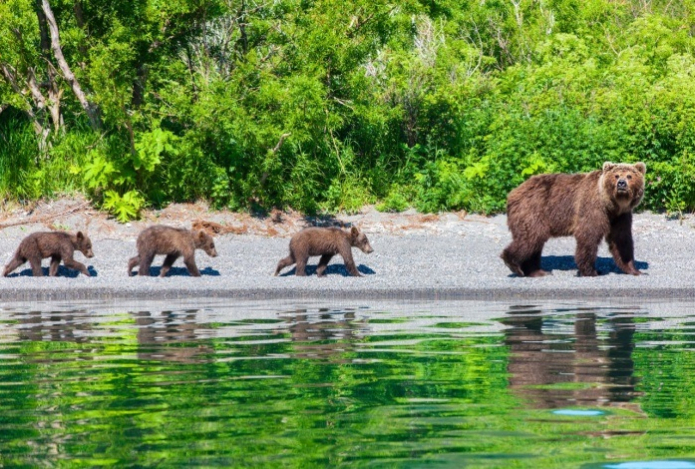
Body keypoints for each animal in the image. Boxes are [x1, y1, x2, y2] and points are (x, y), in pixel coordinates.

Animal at [500, 162, 648, 276]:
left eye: (629, 176)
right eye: (616, 175)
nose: (621, 183)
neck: (612, 204)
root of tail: (513, 193)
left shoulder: (620, 217)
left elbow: (622, 240)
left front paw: (634, 269)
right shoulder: (593, 209)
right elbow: (588, 236)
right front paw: (591, 271)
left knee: (535, 242)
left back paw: (537, 271)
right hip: (532, 211)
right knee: (530, 238)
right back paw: (514, 264)